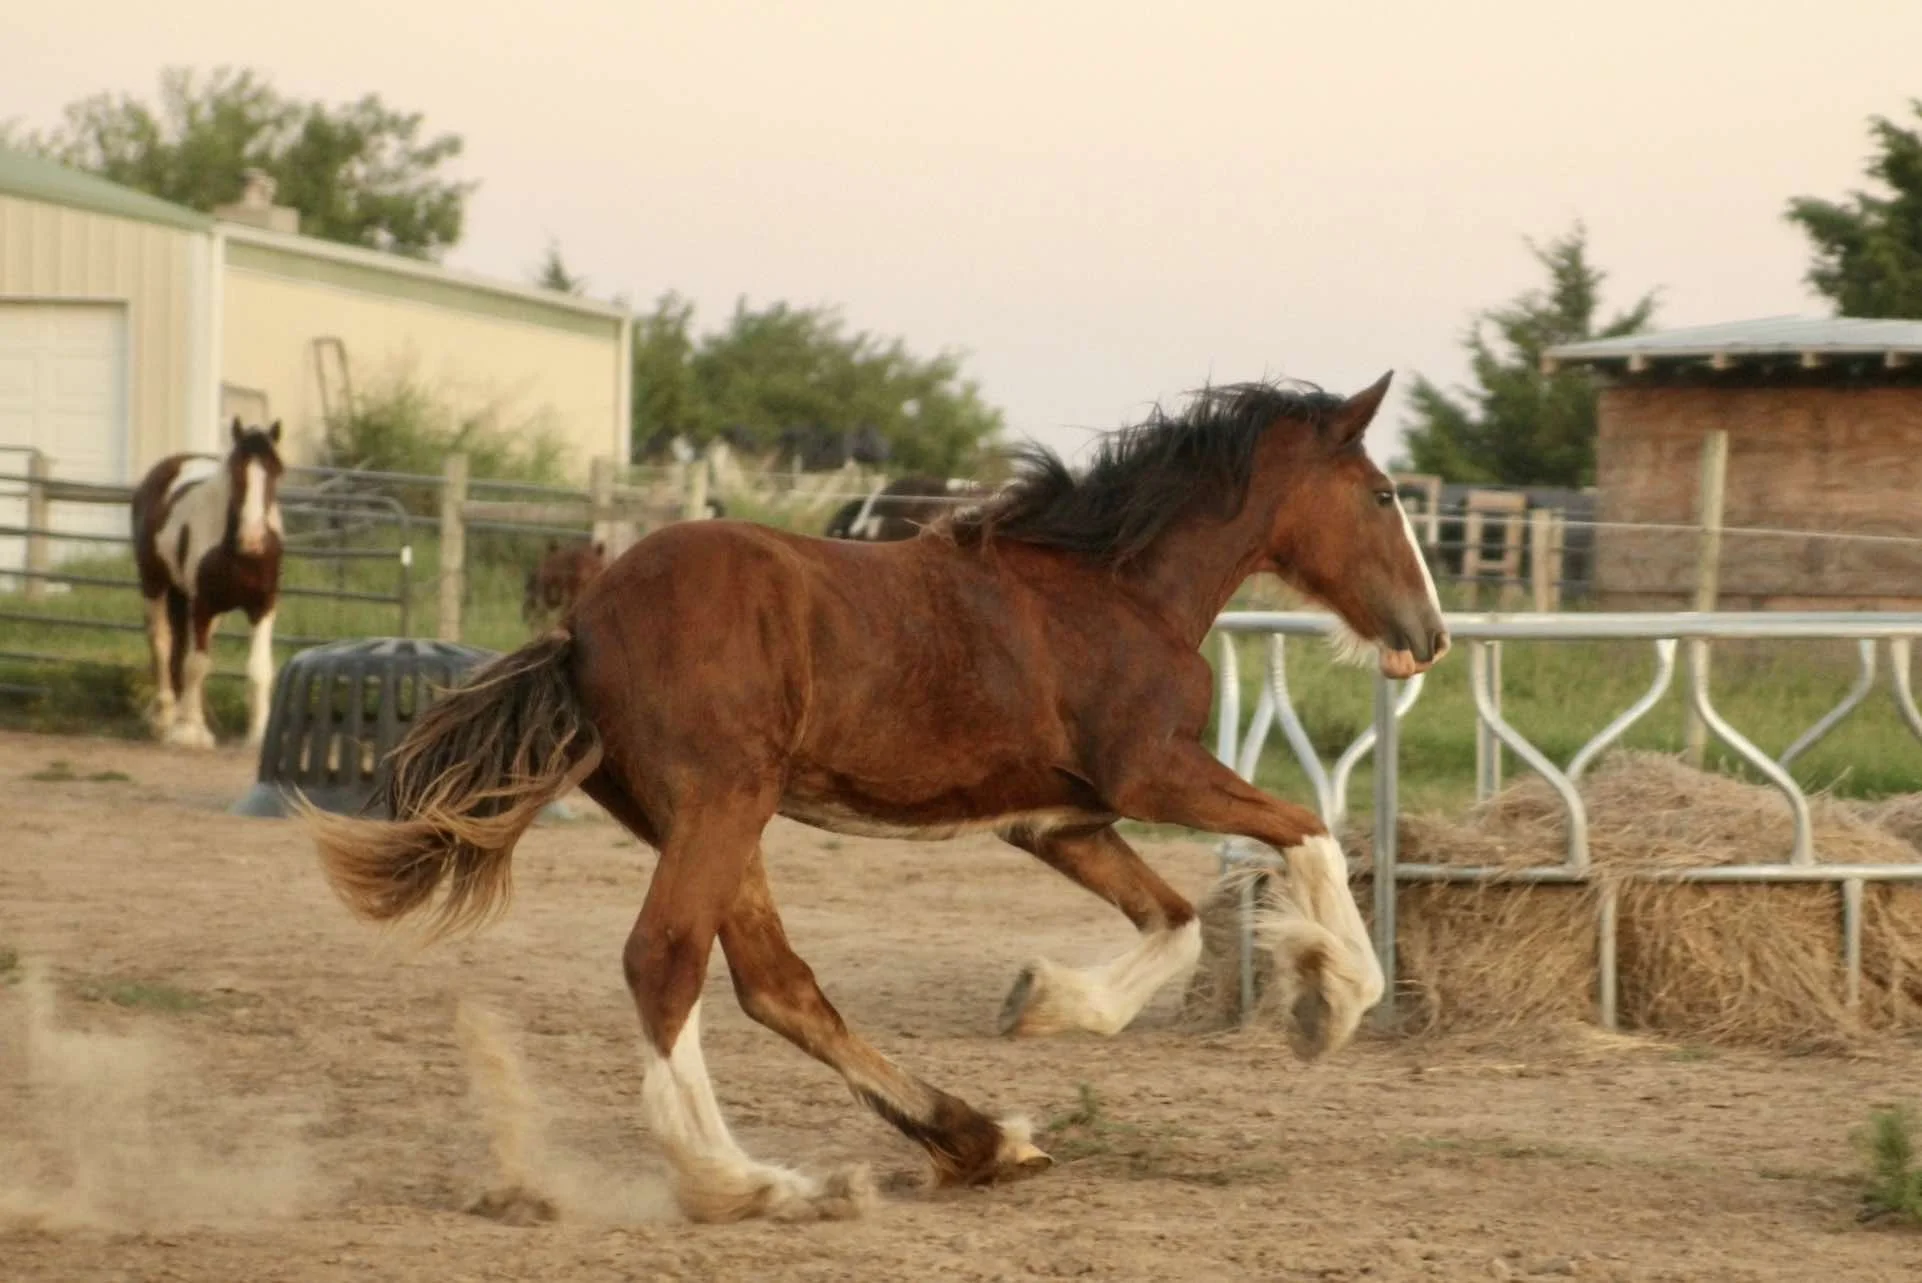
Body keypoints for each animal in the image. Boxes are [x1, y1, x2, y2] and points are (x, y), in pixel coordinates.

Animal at [130, 418, 286, 750]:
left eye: (277, 470)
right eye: (236, 471)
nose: (253, 540)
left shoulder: (263, 606)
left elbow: (258, 669)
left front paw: (258, 733)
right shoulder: (202, 604)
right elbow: (196, 664)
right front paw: (189, 731)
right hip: (155, 584)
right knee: (162, 644)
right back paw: (167, 718)